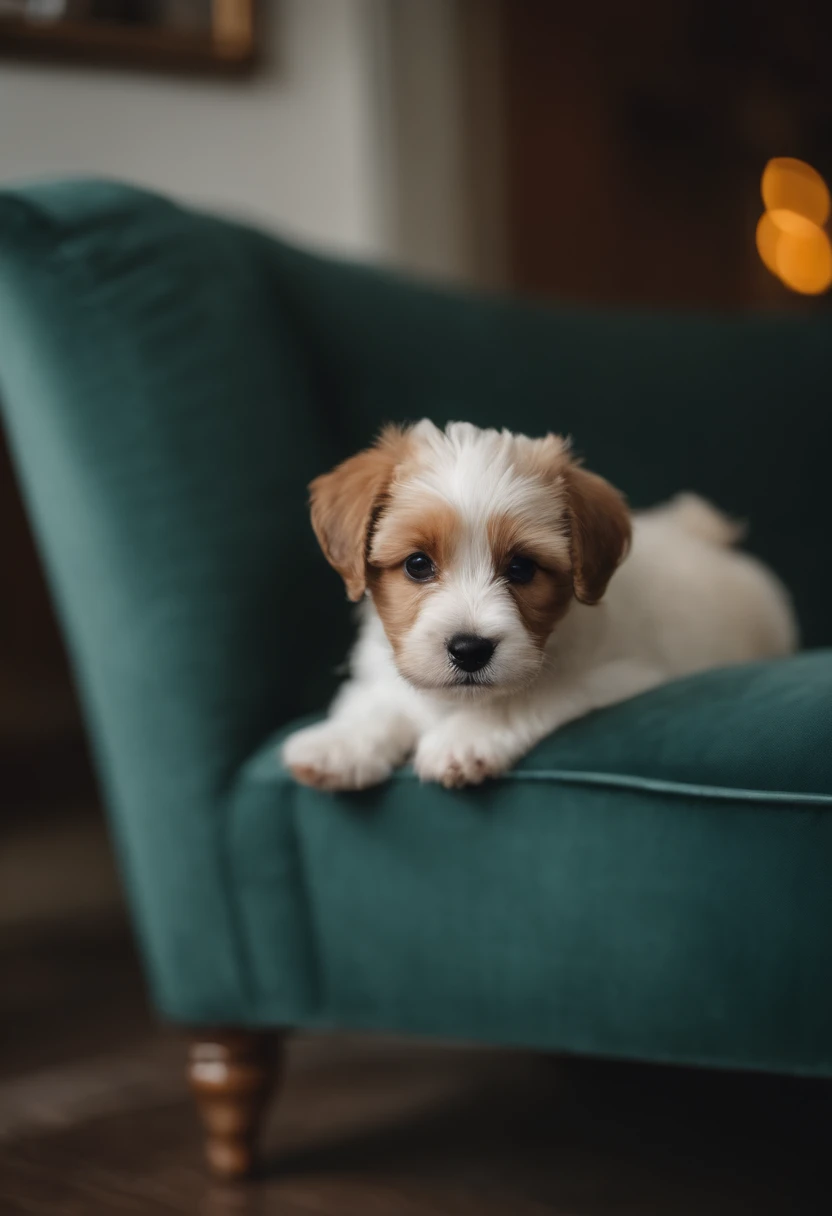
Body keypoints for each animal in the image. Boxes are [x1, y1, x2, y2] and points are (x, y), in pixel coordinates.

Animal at [282, 423, 797, 792]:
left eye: (522, 568)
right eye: (417, 564)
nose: (469, 650)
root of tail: (703, 535)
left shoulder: (617, 673)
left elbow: (521, 694)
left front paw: (463, 738)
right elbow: (381, 699)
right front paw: (341, 742)